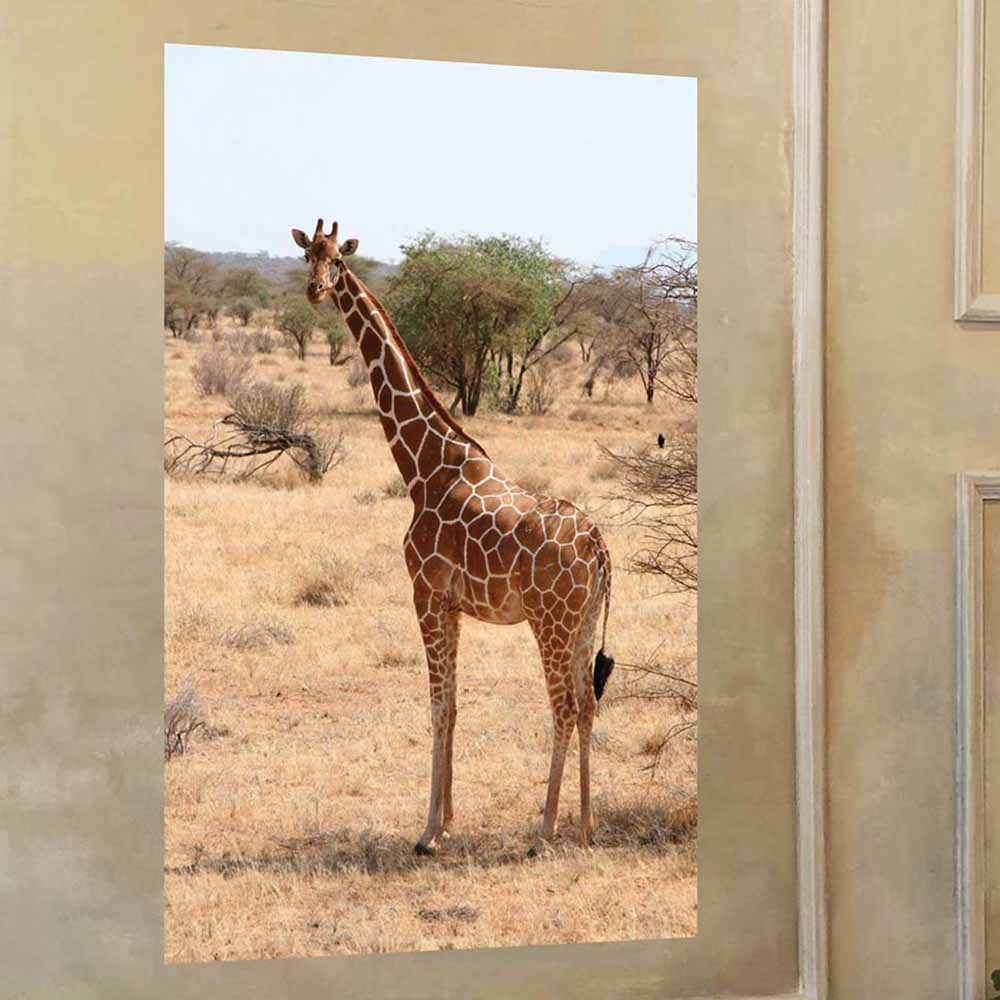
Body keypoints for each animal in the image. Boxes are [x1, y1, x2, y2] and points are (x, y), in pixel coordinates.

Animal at [292, 218, 615, 855]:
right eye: (307, 255)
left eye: (339, 259)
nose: (315, 289)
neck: (422, 466)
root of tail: (598, 546)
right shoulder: (454, 604)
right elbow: (457, 706)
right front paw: (446, 822)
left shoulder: (425, 593)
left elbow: (438, 706)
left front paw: (426, 831)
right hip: (584, 621)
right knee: (588, 704)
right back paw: (587, 828)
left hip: (550, 620)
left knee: (564, 707)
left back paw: (544, 832)